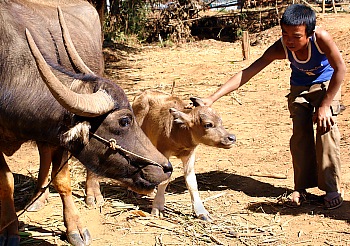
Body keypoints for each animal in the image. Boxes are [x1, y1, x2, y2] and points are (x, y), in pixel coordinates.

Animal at [0, 0, 172, 245]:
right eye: (124, 121)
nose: (167, 168)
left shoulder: (59, 139)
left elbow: (62, 180)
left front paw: (75, 228)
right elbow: (6, 183)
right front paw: (9, 229)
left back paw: (93, 194)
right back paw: (37, 198)